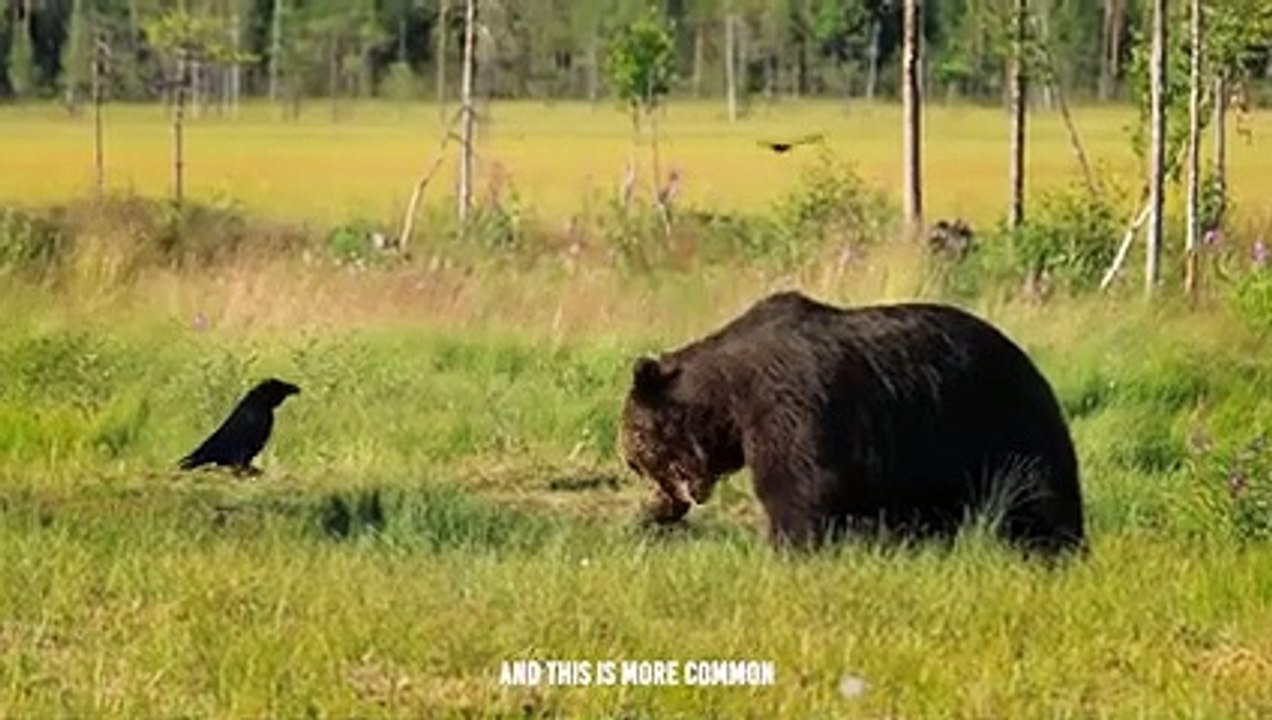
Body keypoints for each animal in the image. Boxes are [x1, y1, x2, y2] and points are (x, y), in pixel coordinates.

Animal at [620, 290, 1086, 557]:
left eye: (636, 457)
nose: (660, 506)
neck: (729, 398)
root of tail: (1030, 362)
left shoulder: (790, 406)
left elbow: (798, 487)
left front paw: (788, 547)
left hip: (1003, 419)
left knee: (1036, 492)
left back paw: (1053, 547)